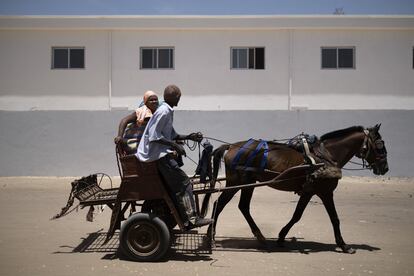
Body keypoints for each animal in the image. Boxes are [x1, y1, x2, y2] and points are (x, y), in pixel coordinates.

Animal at [205, 124, 390, 253]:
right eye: (380, 144)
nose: (385, 167)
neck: (326, 156)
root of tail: (231, 146)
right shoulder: (325, 192)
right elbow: (334, 218)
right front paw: (344, 245)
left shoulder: (309, 191)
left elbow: (297, 215)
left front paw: (281, 237)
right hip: (237, 182)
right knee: (221, 205)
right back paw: (211, 234)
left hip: (246, 183)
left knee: (240, 206)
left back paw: (257, 237)